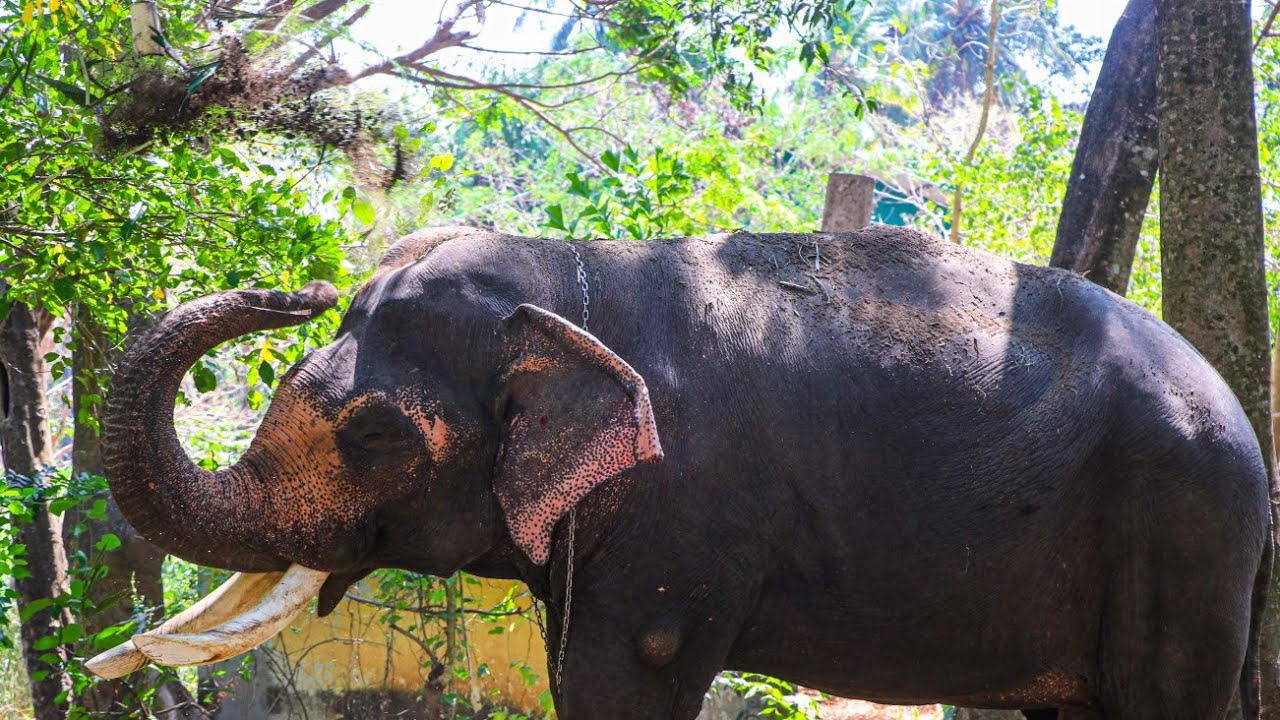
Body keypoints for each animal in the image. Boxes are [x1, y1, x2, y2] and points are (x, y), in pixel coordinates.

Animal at [89, 225, 1270, 719]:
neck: (574, 274)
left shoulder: (686, 508)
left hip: (1185, 535)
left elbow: (626, 679)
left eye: (377, 434)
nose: (294, 291)